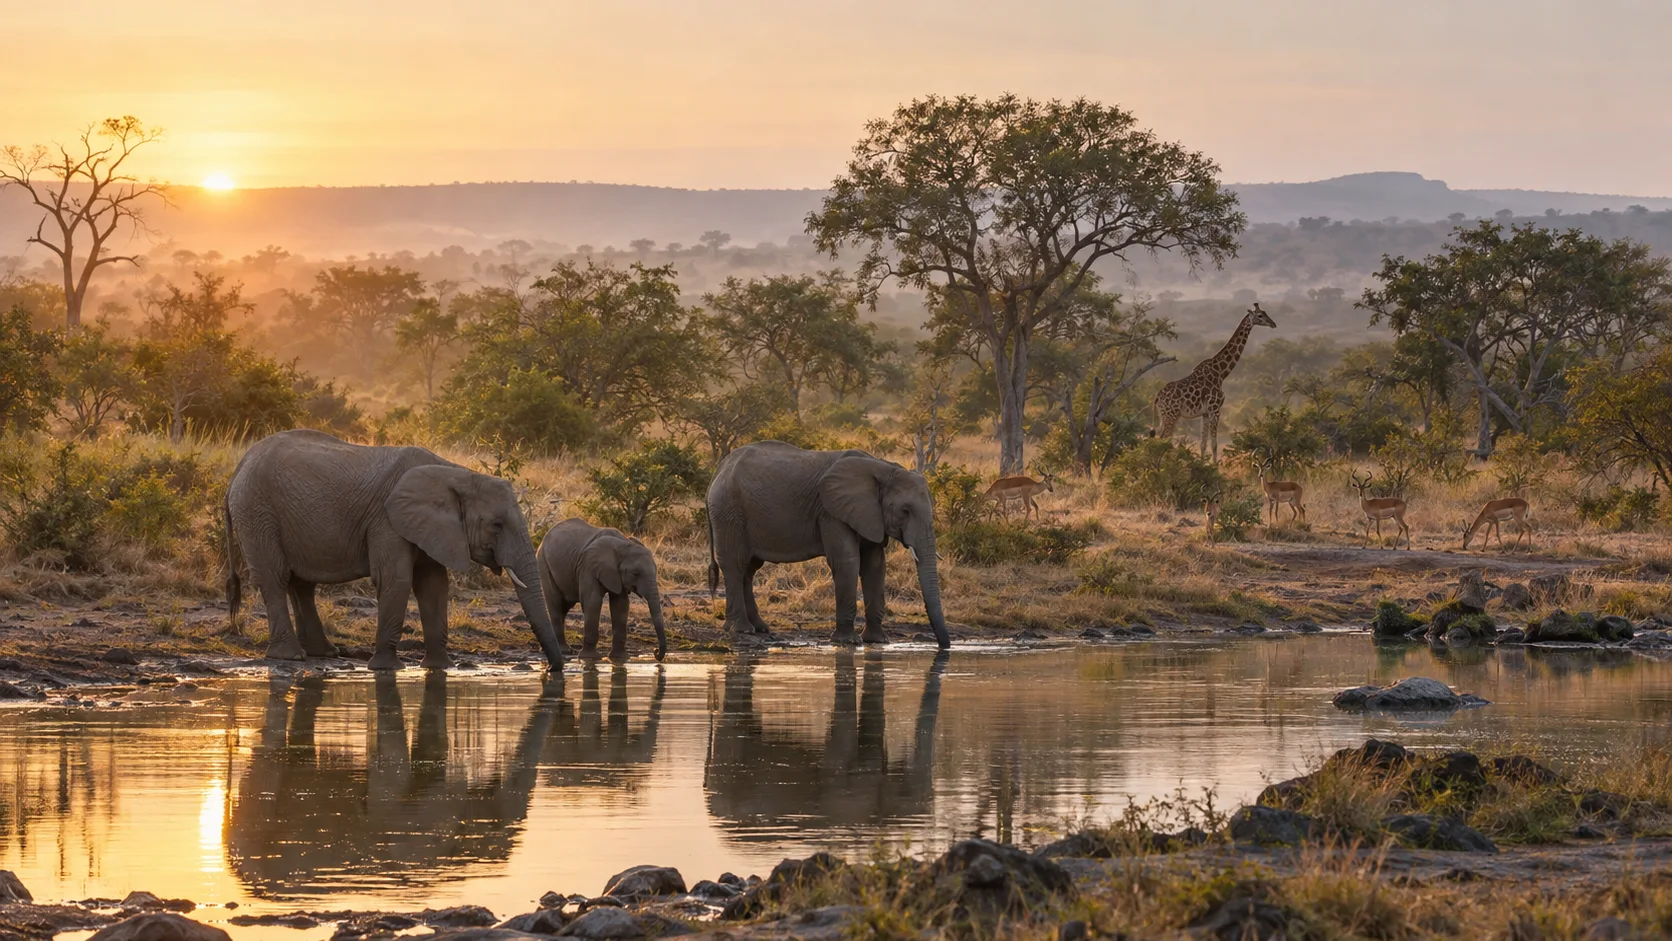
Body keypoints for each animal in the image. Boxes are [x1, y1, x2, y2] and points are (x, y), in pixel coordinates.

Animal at [224, 429, 564, 671]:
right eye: (496, 525)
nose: (552, 669)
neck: (457, 474)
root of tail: (239, 466)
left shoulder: (432, 527)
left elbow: (434, 585)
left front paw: (440, 667)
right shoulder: (387, 520)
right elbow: (396, 580)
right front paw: (387, 668)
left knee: (302, 583)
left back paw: (323, 653)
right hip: (257, 511)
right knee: (275, 577)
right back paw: (291, 657)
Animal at [536, 518, 667, 662]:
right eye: (635, 574)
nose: (655, 651)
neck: (623, 544)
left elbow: (620, 606)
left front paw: (620, 658)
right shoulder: (588, 567)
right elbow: (593, 602)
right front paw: (590, 658)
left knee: (563, 607)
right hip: (543, 564)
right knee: (555, 603)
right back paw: (564, 650)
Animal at [705, 441, 949, 648]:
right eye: (905, 511)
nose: (944, 647)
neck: (883, 469)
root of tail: (720, 468)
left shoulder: (870, 514)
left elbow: (875, 565)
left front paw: (877, 641)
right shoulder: (831, 512)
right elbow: (847, 561)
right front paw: (847, 642)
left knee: (749, 569)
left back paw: (760, 628)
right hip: (729, 511)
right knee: (735, 564)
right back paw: (742, 630)